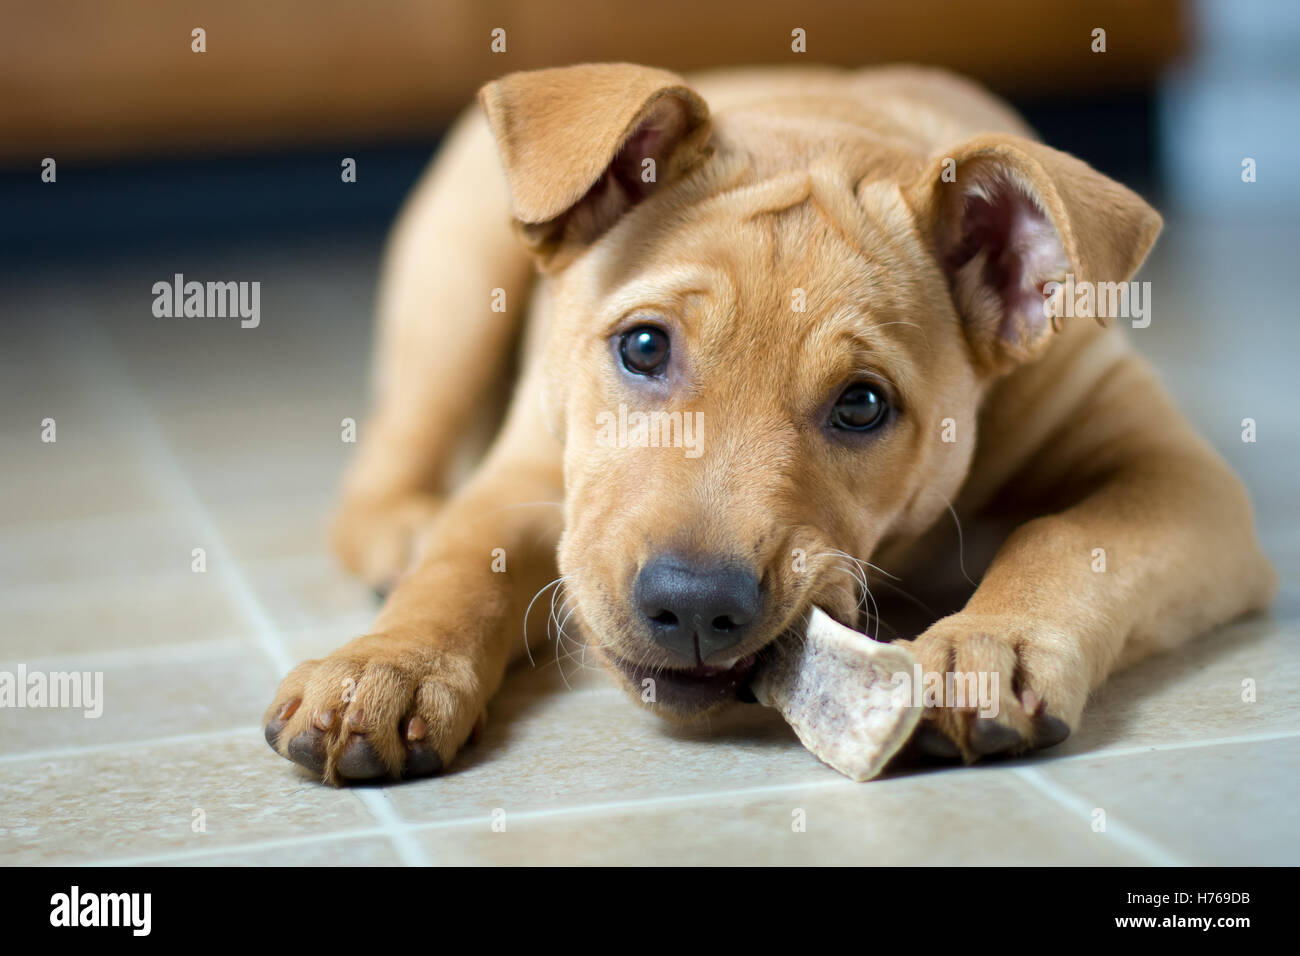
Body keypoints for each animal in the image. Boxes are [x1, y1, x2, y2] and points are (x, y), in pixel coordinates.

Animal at [258, 65, 1274, 785]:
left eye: (862, 404)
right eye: (642, 347)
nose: (695, 608)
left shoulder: (1175, 475)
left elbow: (1064, 537)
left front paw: (989, 645)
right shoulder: (528, 473)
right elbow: (464, 564)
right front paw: (384, 667)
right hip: (457, 284)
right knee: (394, 455)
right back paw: (399, 530)